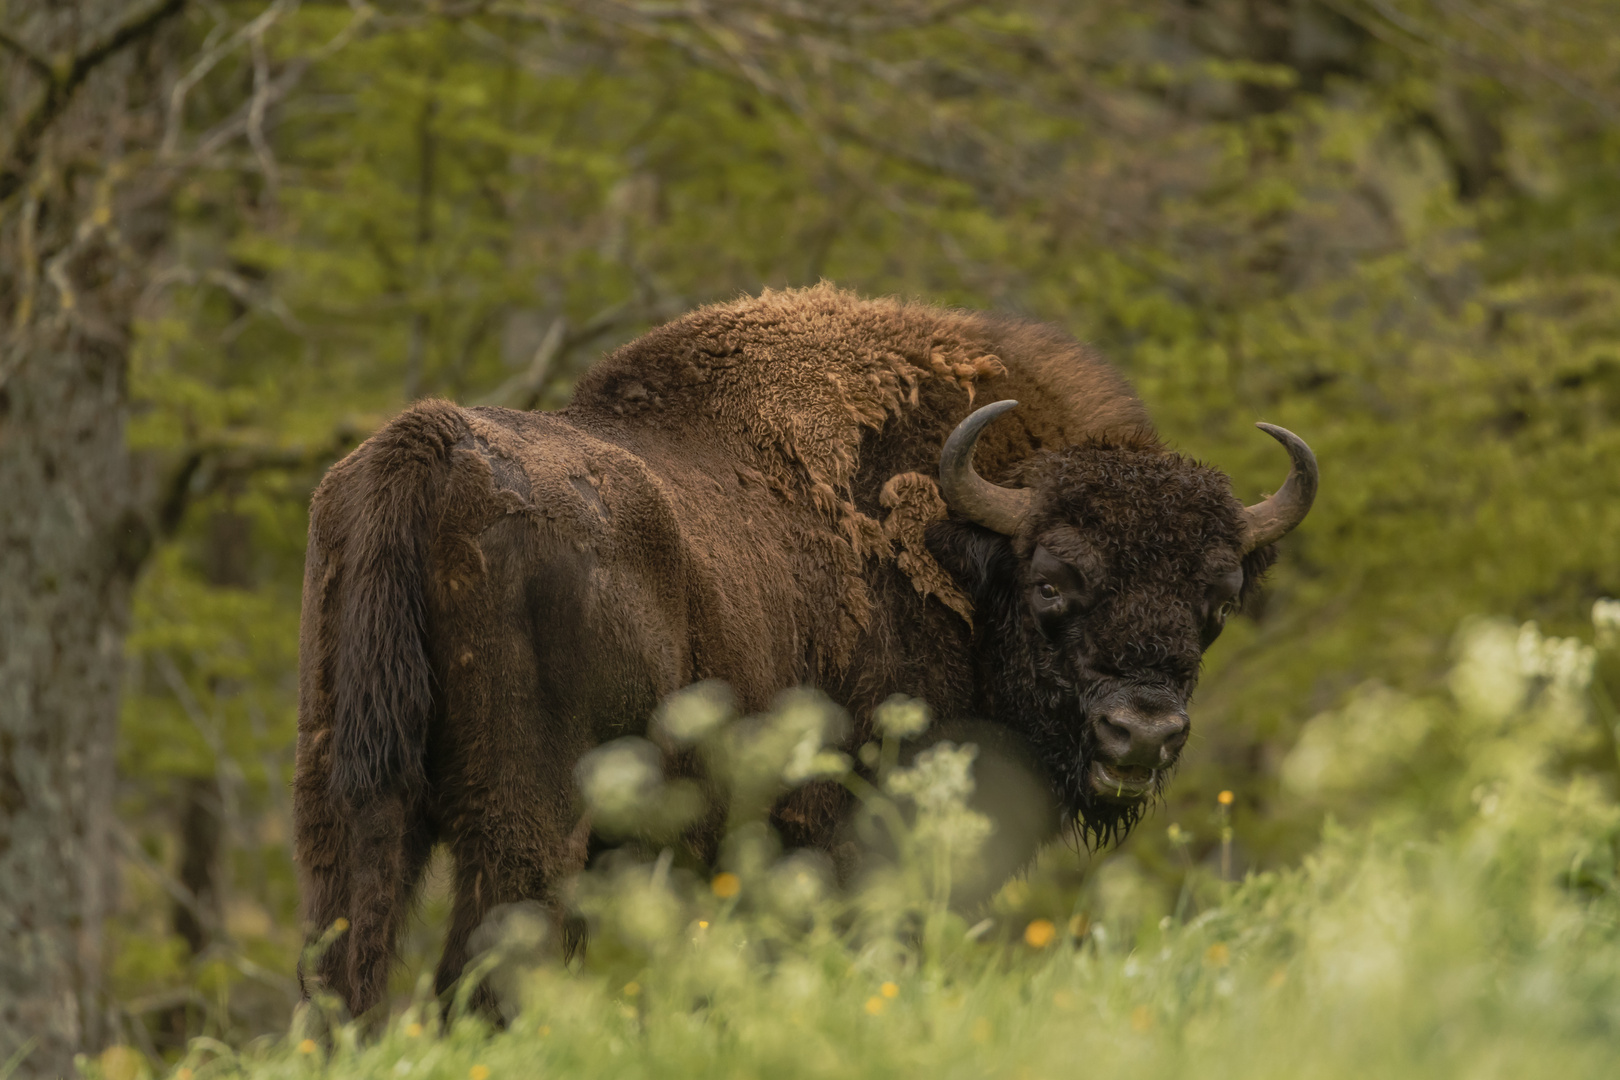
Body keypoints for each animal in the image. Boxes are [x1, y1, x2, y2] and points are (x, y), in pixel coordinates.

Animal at [298, 284, 1321, 1016]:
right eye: (1053, 584)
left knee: (346, 970)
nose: (1140, 734)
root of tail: (425, 448)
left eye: (1216, 600)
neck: (964, 555)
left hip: (351, 800)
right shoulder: (850, 846)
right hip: (530, 826)